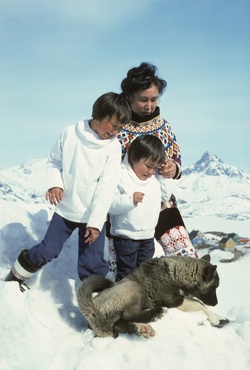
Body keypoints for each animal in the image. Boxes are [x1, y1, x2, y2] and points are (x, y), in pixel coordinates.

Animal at [76, 254, 230, 338]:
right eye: (214, 287)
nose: (216, 303)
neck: (174, 273)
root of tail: (91, 309)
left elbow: (200, 303)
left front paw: (218, 317)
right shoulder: (174, 301)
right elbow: (199, 303)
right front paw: (214, 318)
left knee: (122, 323)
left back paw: (144, 329)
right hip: (134, 287)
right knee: (128, 315)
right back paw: (156, 313)